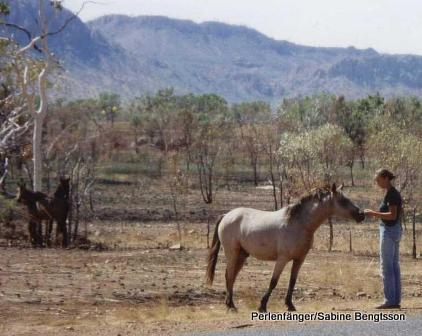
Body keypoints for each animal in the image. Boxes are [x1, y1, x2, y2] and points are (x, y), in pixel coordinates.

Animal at [206, 184, 364, 312]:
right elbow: (273, 281)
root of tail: (226, 215)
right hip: (232, 253)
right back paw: (231, 306)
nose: (361, 215)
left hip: (242, 255)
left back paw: (230, 304)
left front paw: (290, 305)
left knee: (231, 277)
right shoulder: (282, 259)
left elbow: (292, 282)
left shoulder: (299, 259)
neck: (298, 224)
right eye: (342, 201)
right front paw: (262, 306)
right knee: (229, 275)